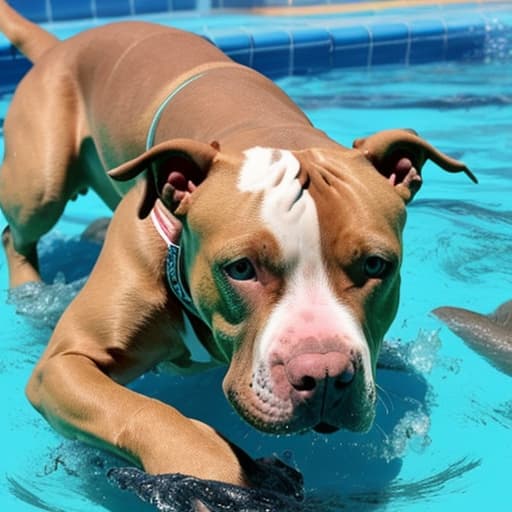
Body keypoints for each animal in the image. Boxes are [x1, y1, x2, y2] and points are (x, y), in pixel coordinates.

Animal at [0, 0, 476, 492]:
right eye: (241, 268)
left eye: (377, 265)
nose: (325, 375)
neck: (266, 129)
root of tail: (60, 46)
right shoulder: (63, 364)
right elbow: (147, 412)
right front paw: (209, 467)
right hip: (39, 188)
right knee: (16, 232)